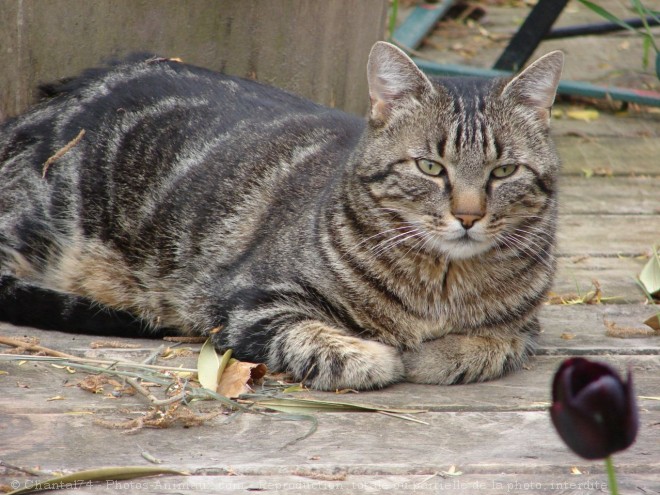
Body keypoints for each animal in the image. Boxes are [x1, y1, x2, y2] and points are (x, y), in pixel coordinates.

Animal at [0, 42, 564, 392]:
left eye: (504, 170)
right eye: (430, 167)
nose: (468, 216)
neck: (441, 287)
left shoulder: (524, 326)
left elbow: (491, 345)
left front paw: (435, 354)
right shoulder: (248, 304)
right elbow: (322, 341)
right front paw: (380, 354)